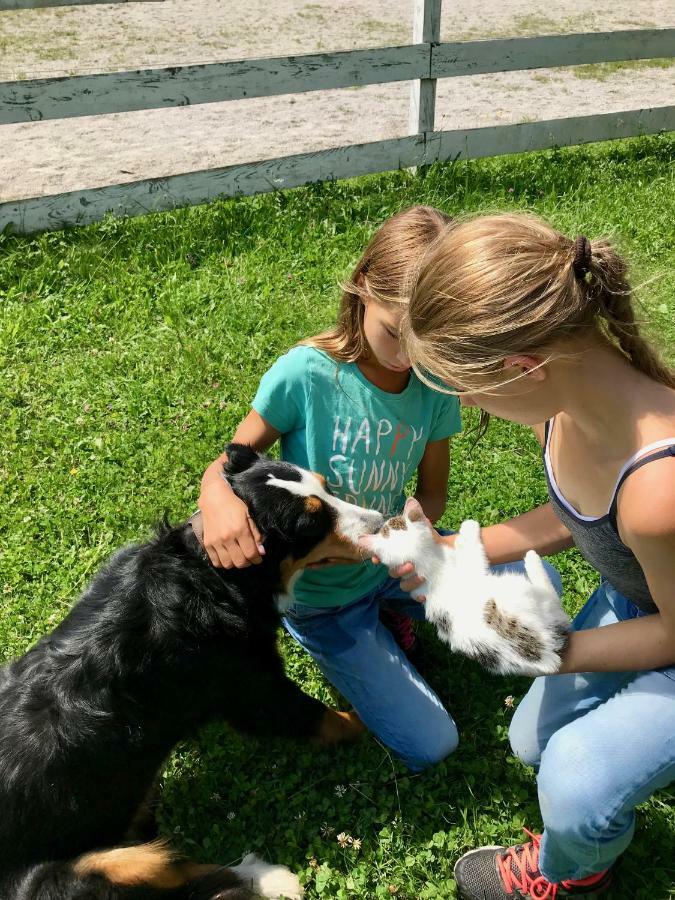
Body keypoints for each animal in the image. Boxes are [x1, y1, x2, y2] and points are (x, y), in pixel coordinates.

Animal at [0, 444, 382, 900]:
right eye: (310, 522)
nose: (382, 523)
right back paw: (270, 876)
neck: (211, 571)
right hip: (81, 871)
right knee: (179, 871)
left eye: (326, 487)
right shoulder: (252, 686)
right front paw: (371, 724)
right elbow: (323, 717)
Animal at [360, 500, 572, 676]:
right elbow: (472, 548)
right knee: (552, 599)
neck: (432, 567)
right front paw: (469, 526)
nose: (384, 520)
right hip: (520, 590)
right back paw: (532, 559)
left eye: (390, 524)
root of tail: (543, 653)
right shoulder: (471, 563)